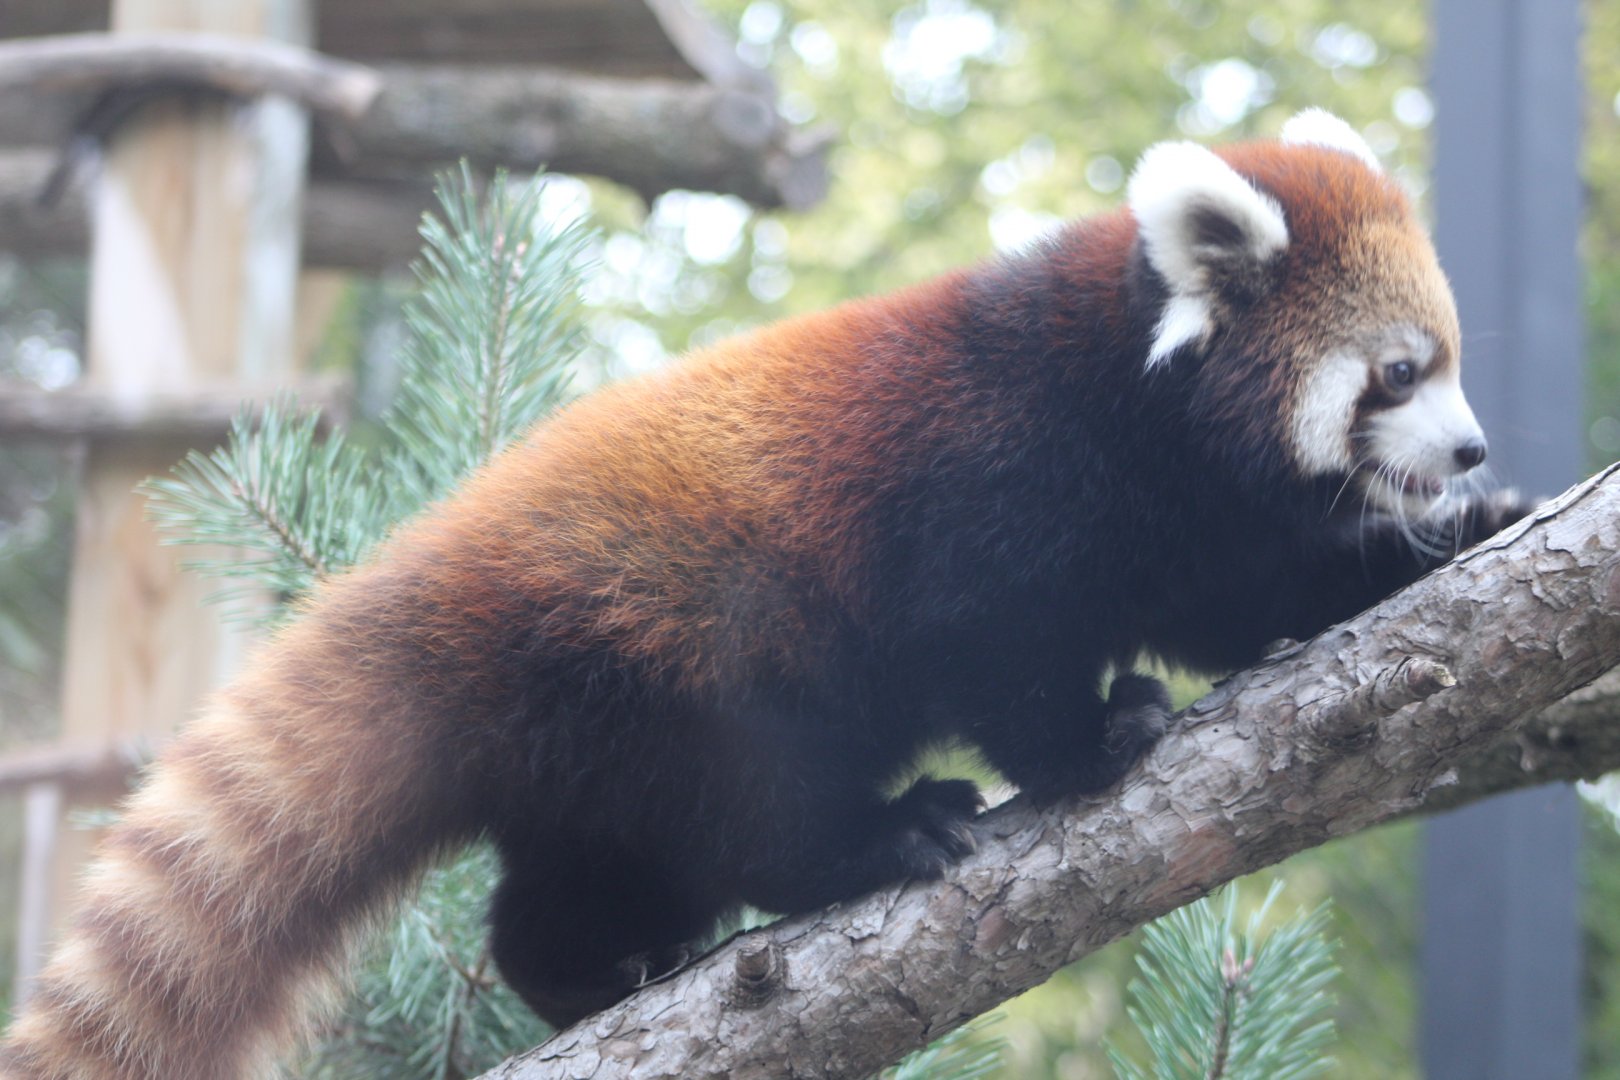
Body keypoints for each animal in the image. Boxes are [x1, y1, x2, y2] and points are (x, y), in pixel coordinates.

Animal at [0, 110, 1527, 1079]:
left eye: (1447, 362)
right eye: (1398, 370)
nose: (1469, 448)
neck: (1136, 403)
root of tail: (438, 586)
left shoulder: (1197, 526)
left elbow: (1253, 598)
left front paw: (1466, 533)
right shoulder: (999, 477)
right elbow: (1000, 648)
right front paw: (1095, 739)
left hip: (588, 744)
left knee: (576, 876)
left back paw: (588, 971)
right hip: (671, 651)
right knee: (747, 803)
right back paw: (880, 838)